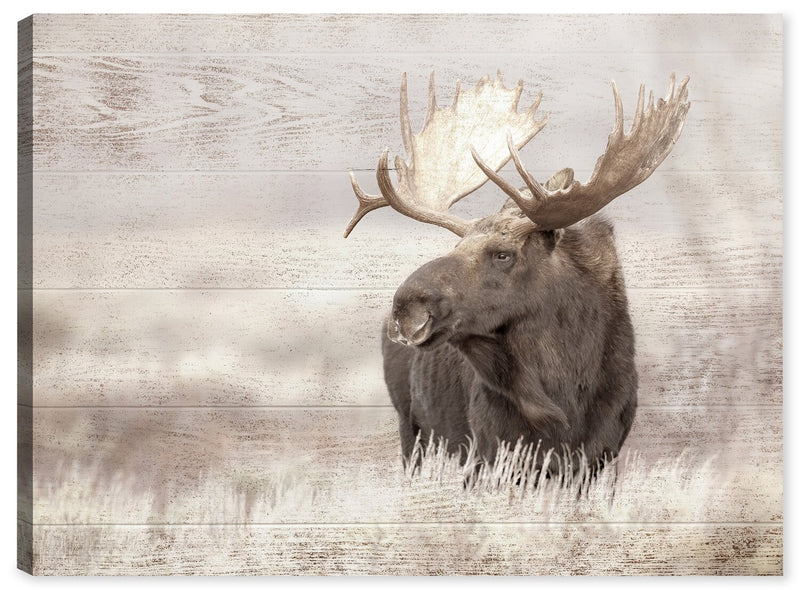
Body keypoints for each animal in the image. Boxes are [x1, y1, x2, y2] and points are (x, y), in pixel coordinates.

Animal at [344, 71, 690, 476]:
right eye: (455, 247)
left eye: (503, 254)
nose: (405, 309)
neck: (562, 394)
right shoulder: (487, 452)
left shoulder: (601, 458)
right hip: (411, 429)